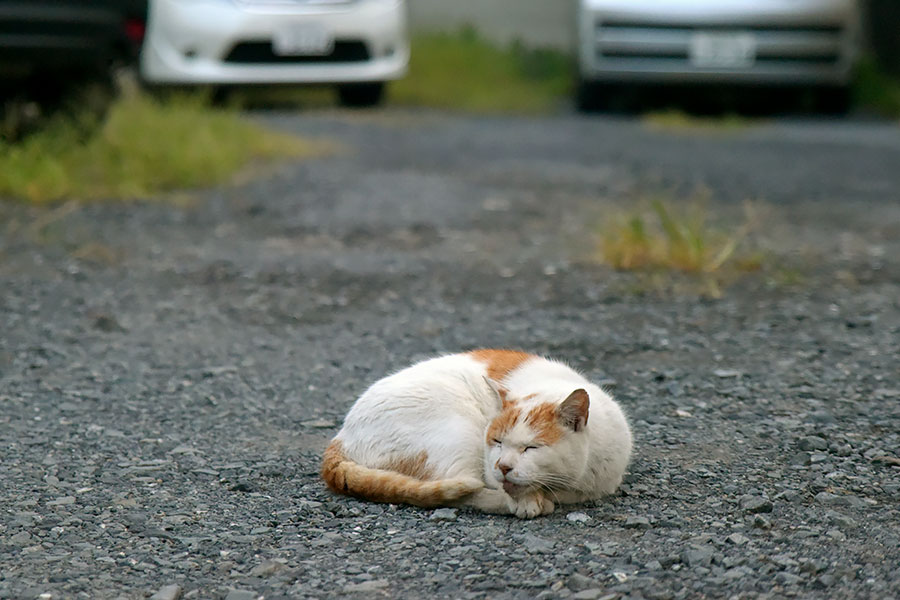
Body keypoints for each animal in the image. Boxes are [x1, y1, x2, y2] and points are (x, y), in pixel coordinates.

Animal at [324, 350, 632, 516]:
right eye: (497, 442)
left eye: (531, 448)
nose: (503, 466)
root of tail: (341, 436)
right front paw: (528, 500)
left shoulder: (598, 484)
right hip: (458, 430)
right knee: (458, 491)